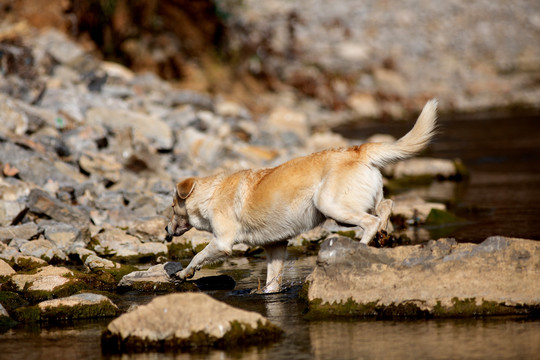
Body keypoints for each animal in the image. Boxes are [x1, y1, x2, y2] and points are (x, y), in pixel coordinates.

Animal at [166, 98, 438, 292]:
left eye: (171, 207)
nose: (166, 231)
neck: (211, 193)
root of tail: (358, 150)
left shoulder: (222, 242)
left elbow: (198, 255)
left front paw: (183, 273)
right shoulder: (275, 247)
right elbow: (272, 283)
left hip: (330, 205)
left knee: (370, 222)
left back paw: (358, 248)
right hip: (356, 203)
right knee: (385, 207)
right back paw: (383, 234)